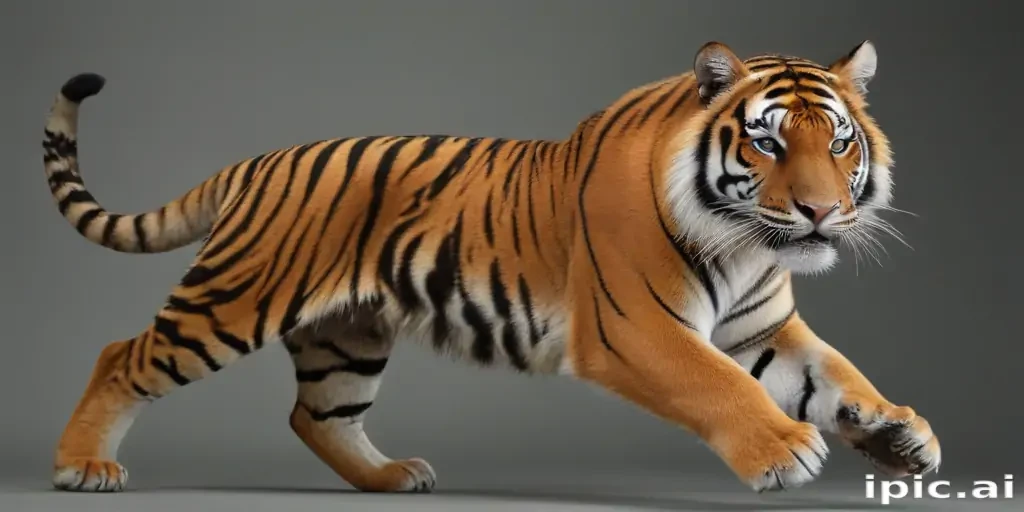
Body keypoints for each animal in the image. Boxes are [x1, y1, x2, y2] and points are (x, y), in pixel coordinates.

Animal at [42, 39, 940, 495]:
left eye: (840, 142)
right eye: (767, 143)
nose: (821, 211)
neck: (749, 240)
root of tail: (252, 164)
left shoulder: (764, 329)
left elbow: (837, 375)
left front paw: (899, 434)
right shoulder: (635, 329)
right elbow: (718, 385)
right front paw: (783, 451)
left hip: (346, 334)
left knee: (315, 414)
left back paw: (390, 477)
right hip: (232, 302)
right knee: (120, 357)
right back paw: (82, 467)